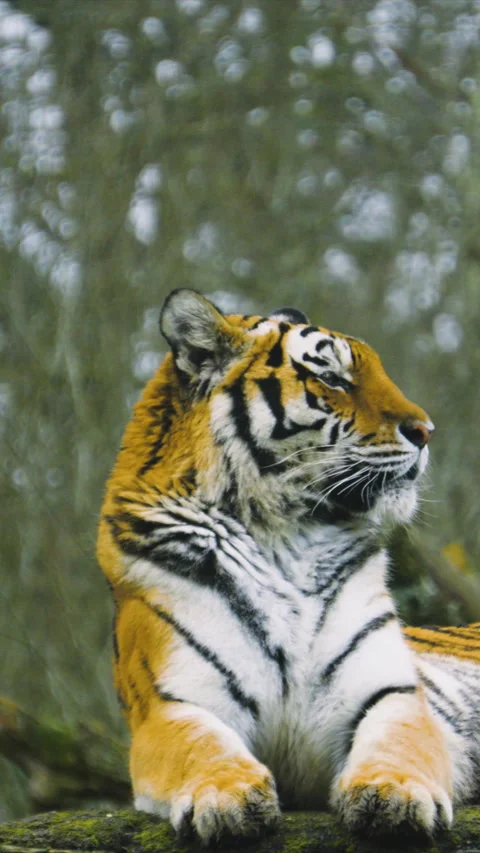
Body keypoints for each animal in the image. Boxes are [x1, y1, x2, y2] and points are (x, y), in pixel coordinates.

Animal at [97, 288, 480, 844]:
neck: (288, 539)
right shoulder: (172, 704)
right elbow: (202, 747)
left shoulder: (391, 693)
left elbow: (397, 742)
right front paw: (227, 798)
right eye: (334, 378)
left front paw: (395, 795)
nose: (425, 431)